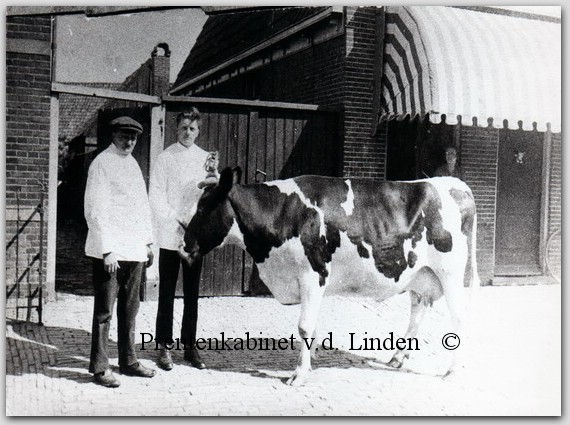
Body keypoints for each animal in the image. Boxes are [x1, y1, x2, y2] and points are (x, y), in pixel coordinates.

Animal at [180, 167, 478, 386]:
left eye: (204, 208)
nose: (183, 245)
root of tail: (453, 184)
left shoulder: (313, 274)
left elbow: (304, 327)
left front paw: (299, 375)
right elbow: (312, 327)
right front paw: (310, 363)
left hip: (451, 274)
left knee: (460, 318)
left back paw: (451, 371)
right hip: (419, 275)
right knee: (418, 312)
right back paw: (396, 358)